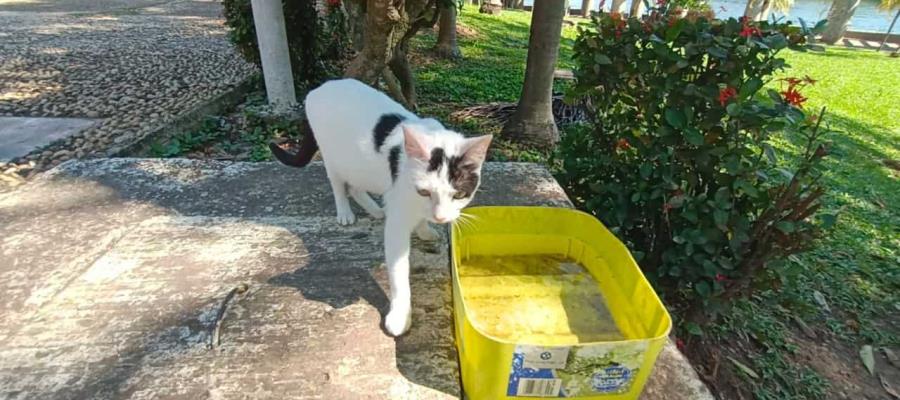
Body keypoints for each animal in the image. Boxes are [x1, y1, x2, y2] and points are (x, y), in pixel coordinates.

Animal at [268, 77, 492, 334]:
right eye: (424, 192)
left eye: (458, 195)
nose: (441, 217)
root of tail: (321, 87)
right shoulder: (399, 218)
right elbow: (398, 272)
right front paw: (400, 316)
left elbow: (421, 219)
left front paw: (425, 229)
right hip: (333, 156)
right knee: (338, 184)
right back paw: (345, 212)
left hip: (359, 165)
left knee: (355, 186)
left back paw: (375, 210)